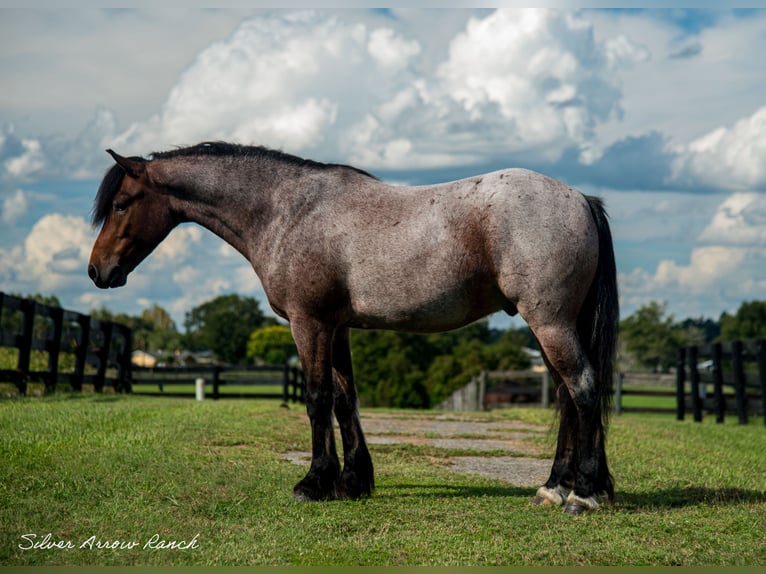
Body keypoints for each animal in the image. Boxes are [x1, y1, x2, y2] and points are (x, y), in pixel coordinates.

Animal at [88, 142, 616, 516]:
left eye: (121, 203)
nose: (97, 270)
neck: (287, 210)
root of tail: (579, 199)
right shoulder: (337, 328)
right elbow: (345, 399)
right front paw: (352, 482)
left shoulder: (310, 324)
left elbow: (317, 399)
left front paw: (313, 483)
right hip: (549, 327)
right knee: (567, 397)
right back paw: (553, 488)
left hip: (549, 322)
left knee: (584, 389)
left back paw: (583, 495)